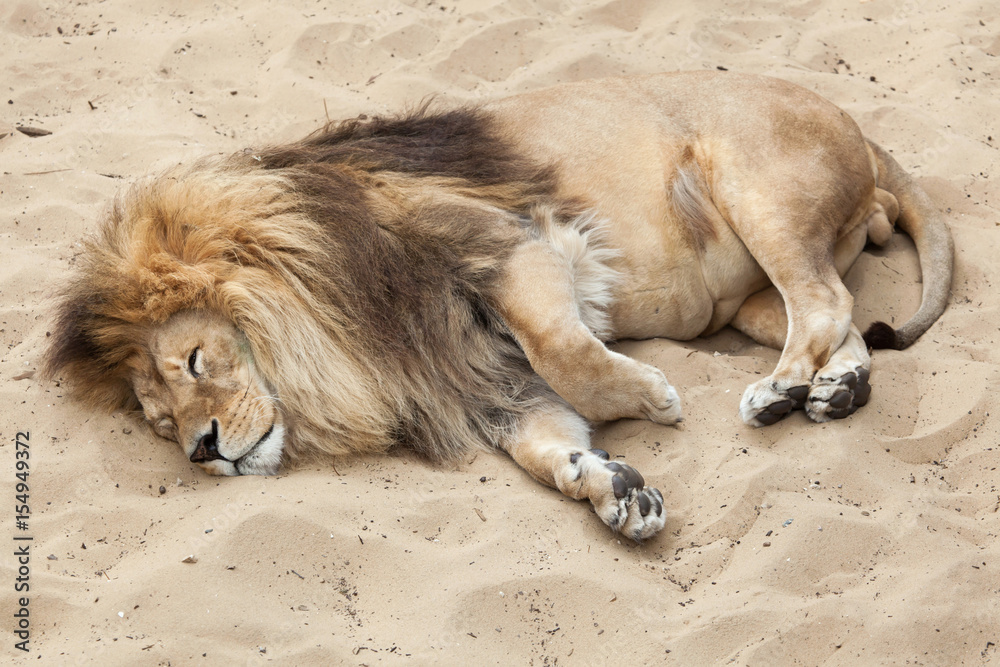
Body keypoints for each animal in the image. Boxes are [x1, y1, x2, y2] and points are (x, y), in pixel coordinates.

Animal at [44, 72, 952, 541]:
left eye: (197, 359)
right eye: (159, 421)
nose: (200, 449)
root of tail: (859, 128)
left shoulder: (515, 244)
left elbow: (564, 347)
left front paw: (651, 397)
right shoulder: (480, 374)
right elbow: (544, 443)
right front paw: (610, 485)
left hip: (753, 187)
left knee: (826, 301)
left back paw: (778, 390)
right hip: (748, 301)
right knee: (838, 322)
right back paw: (833, 389)